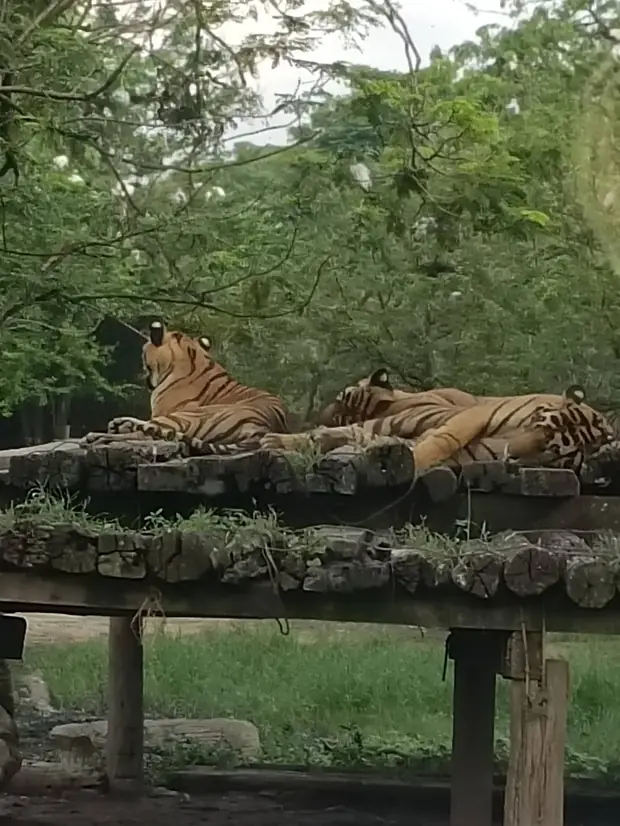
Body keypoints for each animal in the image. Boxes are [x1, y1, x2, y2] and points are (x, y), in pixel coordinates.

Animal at [81, 321, 289, 454]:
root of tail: (260, 428)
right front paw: (119, 424)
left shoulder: (164, 413)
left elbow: (146, 430)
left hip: (185, 417)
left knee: (147, 434)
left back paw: (96, 437)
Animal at [259, 386, 617, 476]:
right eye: (538, 425)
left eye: (550, 450)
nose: (511, 453)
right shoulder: (472, 417)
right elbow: (443, 441)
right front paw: (415, 462)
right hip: (395, 420)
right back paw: (272, 438)